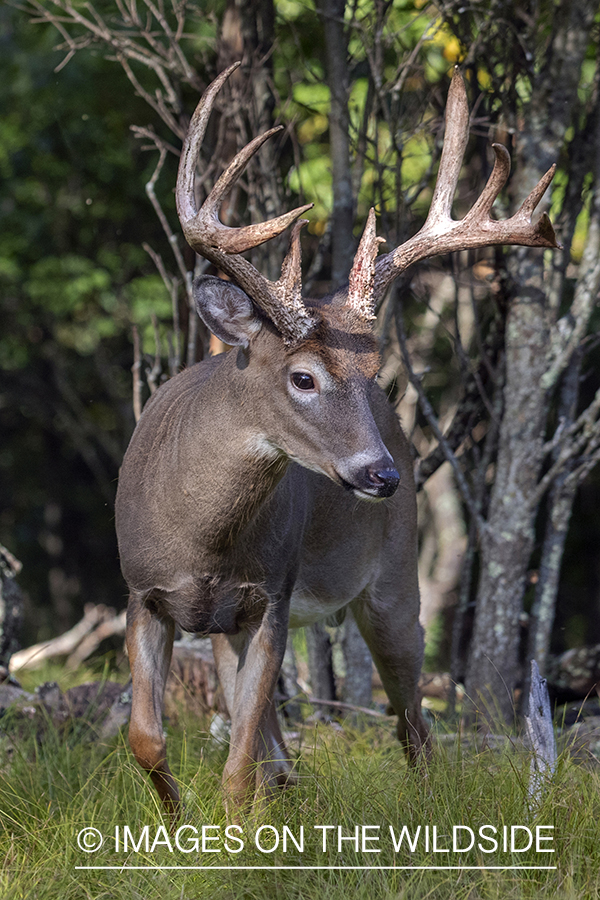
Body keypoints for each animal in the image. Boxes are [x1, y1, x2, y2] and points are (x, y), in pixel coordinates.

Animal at [113, 59, 556, 812]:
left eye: (373, 371)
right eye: (303, 377)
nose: (383, 474)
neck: (201, 538)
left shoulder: (272, 594)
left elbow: (239, 759)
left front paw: (232, 831)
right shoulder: (143, 594)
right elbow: (150, 738)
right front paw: (178, 825)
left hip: (395, 581)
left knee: (412, 726)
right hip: (230, 627)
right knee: (283, 741)